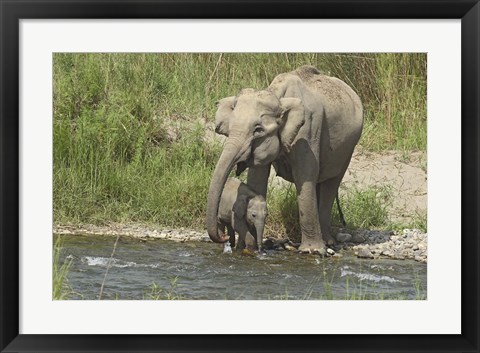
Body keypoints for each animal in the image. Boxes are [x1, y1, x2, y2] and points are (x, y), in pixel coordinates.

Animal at [206, 65, 364, 253]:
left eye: (258, 130)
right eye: (229, 128)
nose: (221, 238)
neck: (277, 96)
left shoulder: (308, 132)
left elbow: (305, 177)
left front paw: (311, 251)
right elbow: (257, 178)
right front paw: (252, 248)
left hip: (349, 147)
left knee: (331, 184)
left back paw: (327, 243)